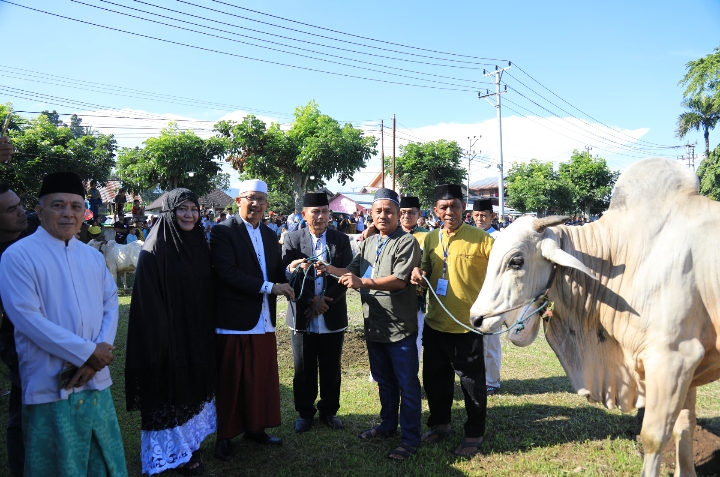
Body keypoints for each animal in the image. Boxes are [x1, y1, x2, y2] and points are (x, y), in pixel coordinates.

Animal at [470, 159, 720, 476]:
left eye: (516, 260)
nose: (476, 319)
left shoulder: (675, 359)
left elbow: (654, 437)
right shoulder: (688, 366)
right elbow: (683, 428)